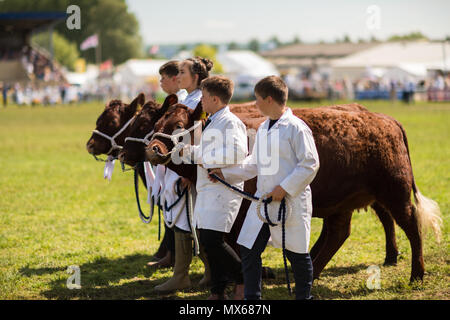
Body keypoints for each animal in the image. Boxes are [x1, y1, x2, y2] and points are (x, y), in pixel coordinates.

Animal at [146, 102, 442, 280]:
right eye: (156, 126)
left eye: (178, 126)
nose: (152, 149)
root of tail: (384, 119)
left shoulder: (242, 210)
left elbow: (235, 242)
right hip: (345, 201)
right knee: (339, 233)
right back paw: (314, 269)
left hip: (395, 192)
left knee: (411, 226)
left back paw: (417, 273)